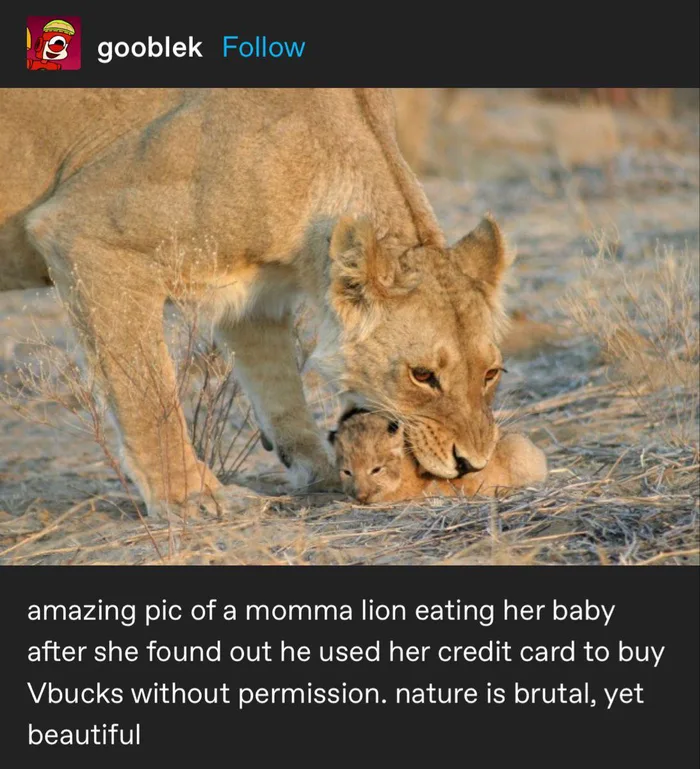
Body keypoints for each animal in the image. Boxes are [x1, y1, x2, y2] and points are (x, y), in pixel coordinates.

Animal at [0, 88, 517, 519]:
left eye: (491, 373)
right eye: (422, 375)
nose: (471, 464)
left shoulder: (255, 298)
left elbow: (279, 388)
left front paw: (322, 471)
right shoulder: (87, 236)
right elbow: (147, 394)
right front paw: (192, 500)